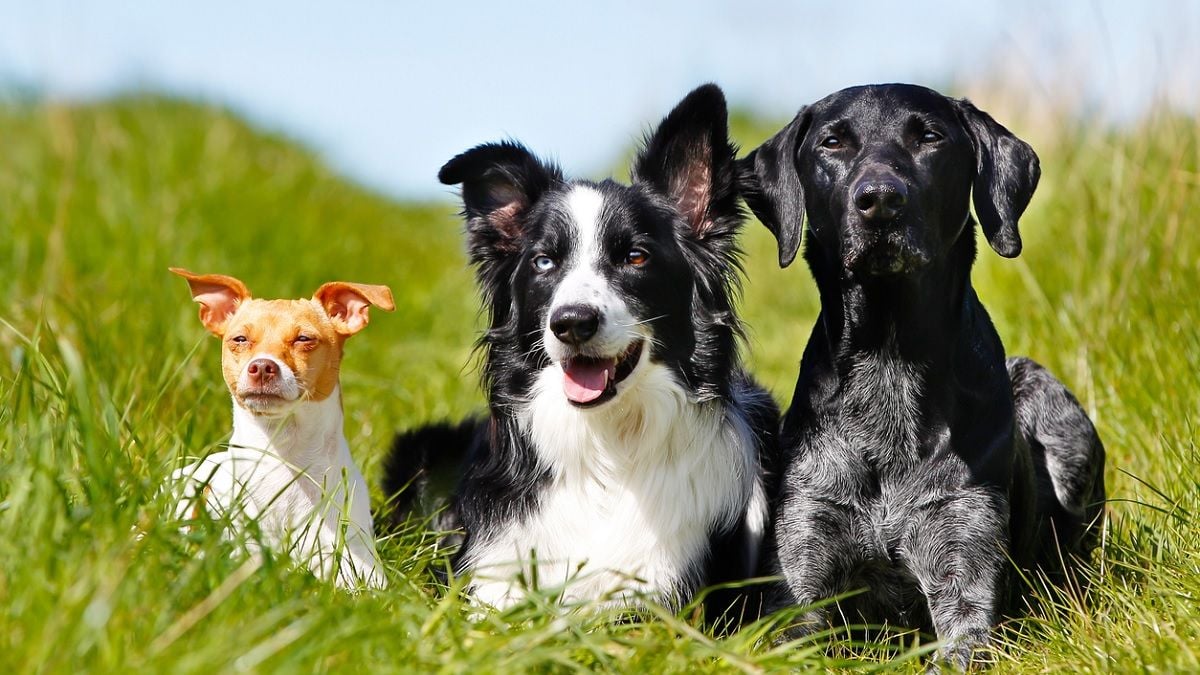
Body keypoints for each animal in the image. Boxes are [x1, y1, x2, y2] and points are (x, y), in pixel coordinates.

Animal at [739, 85, 1104, 667]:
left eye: (929, 137)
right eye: (832, 142)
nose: (880, 199)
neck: (890, 359)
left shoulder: (964, 573)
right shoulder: (801, 574)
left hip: (1054, 411)